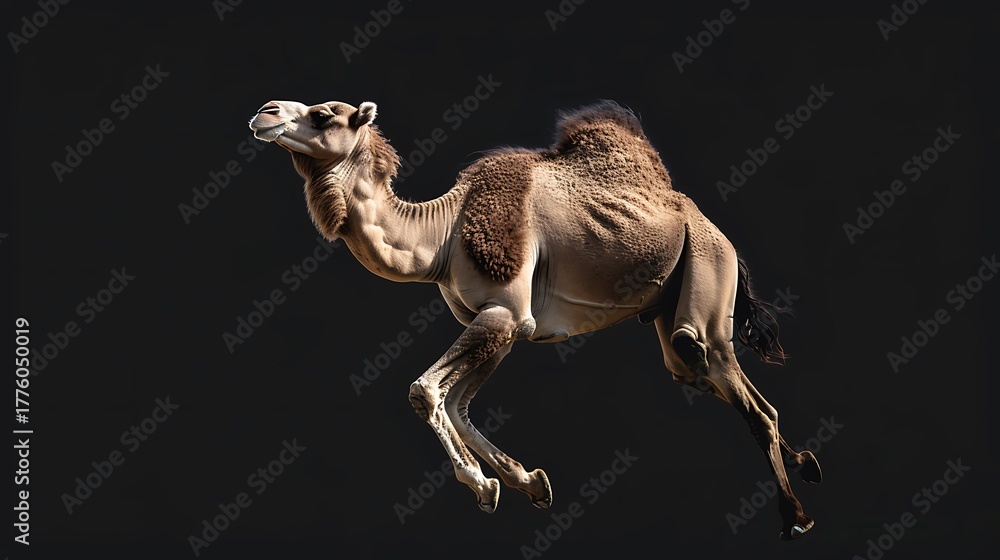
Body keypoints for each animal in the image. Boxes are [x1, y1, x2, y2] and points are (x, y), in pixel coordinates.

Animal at [248, 98, 822, 539]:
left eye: (324, 115)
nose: (264, 112)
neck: (442, 234)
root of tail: (714, 229)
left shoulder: (506, 314)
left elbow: (426, 392)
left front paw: (484, 484)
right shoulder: (502, 325)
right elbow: (458, 404)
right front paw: (527, 482)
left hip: (707, 266)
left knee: (722, 374)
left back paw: (794, 516)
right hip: (669, 305)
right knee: (705, 374)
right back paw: (806, 463)